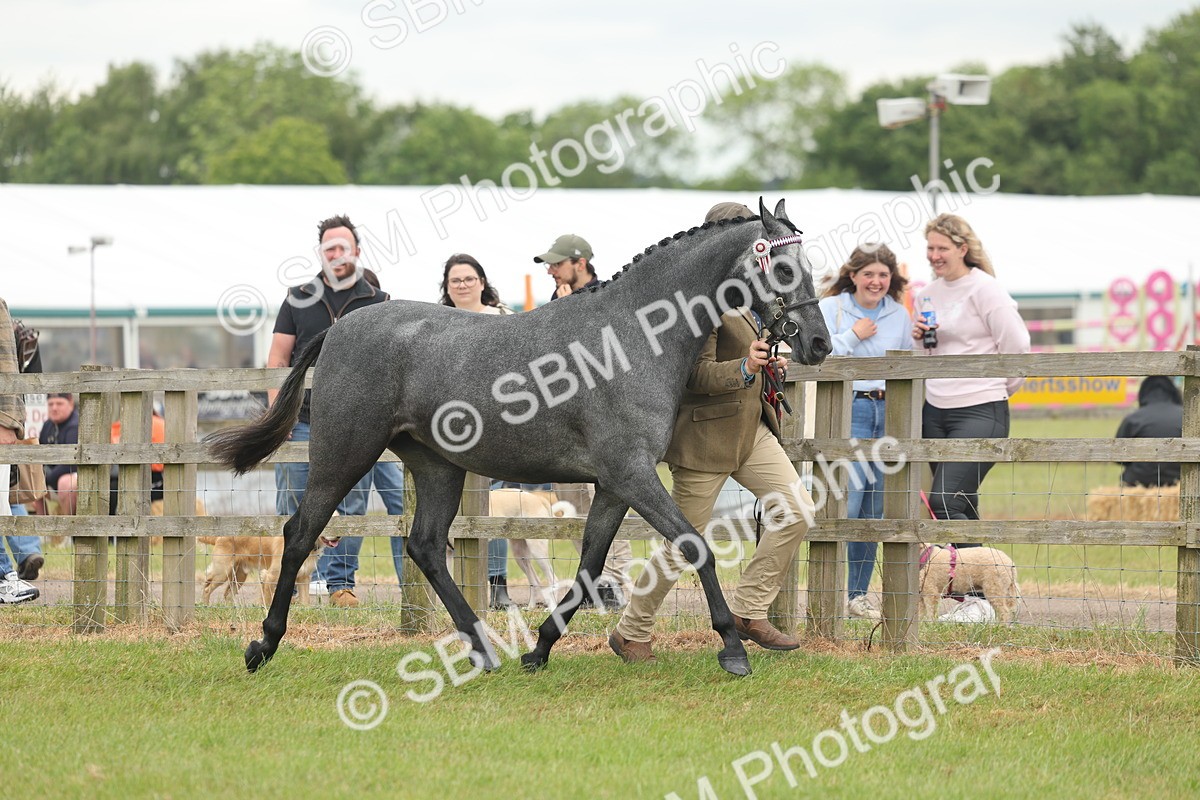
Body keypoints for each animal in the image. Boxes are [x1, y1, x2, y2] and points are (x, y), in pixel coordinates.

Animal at [207, 198, 831, 676]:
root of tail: (341, 326)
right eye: (782, 267)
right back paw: (263, 645)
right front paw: (733, 650)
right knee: (299, 533)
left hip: (436, 465)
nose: (819, 344)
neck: (630, 336)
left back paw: (484, 650)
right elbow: (694, 546)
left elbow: (588, 566)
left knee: (425, 545)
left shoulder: (612, 484)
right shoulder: (631, 474)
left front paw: (539, 650)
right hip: (344, 452)